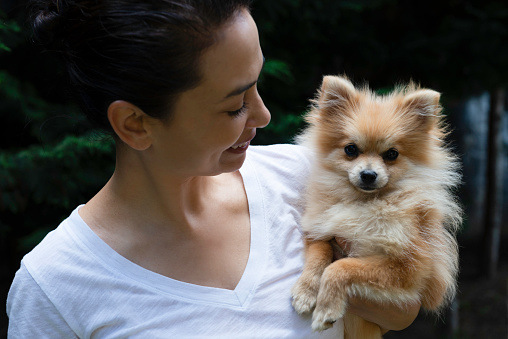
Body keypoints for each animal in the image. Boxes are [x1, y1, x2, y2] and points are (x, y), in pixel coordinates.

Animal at [292, 75, 462, 338]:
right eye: (351, 149)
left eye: (391, 154)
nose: (368, 174)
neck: (365, 203)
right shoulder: (320, 232)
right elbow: (319, 256)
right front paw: (305, 290)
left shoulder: (412, 267)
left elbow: (342, 267)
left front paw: (326, 308)